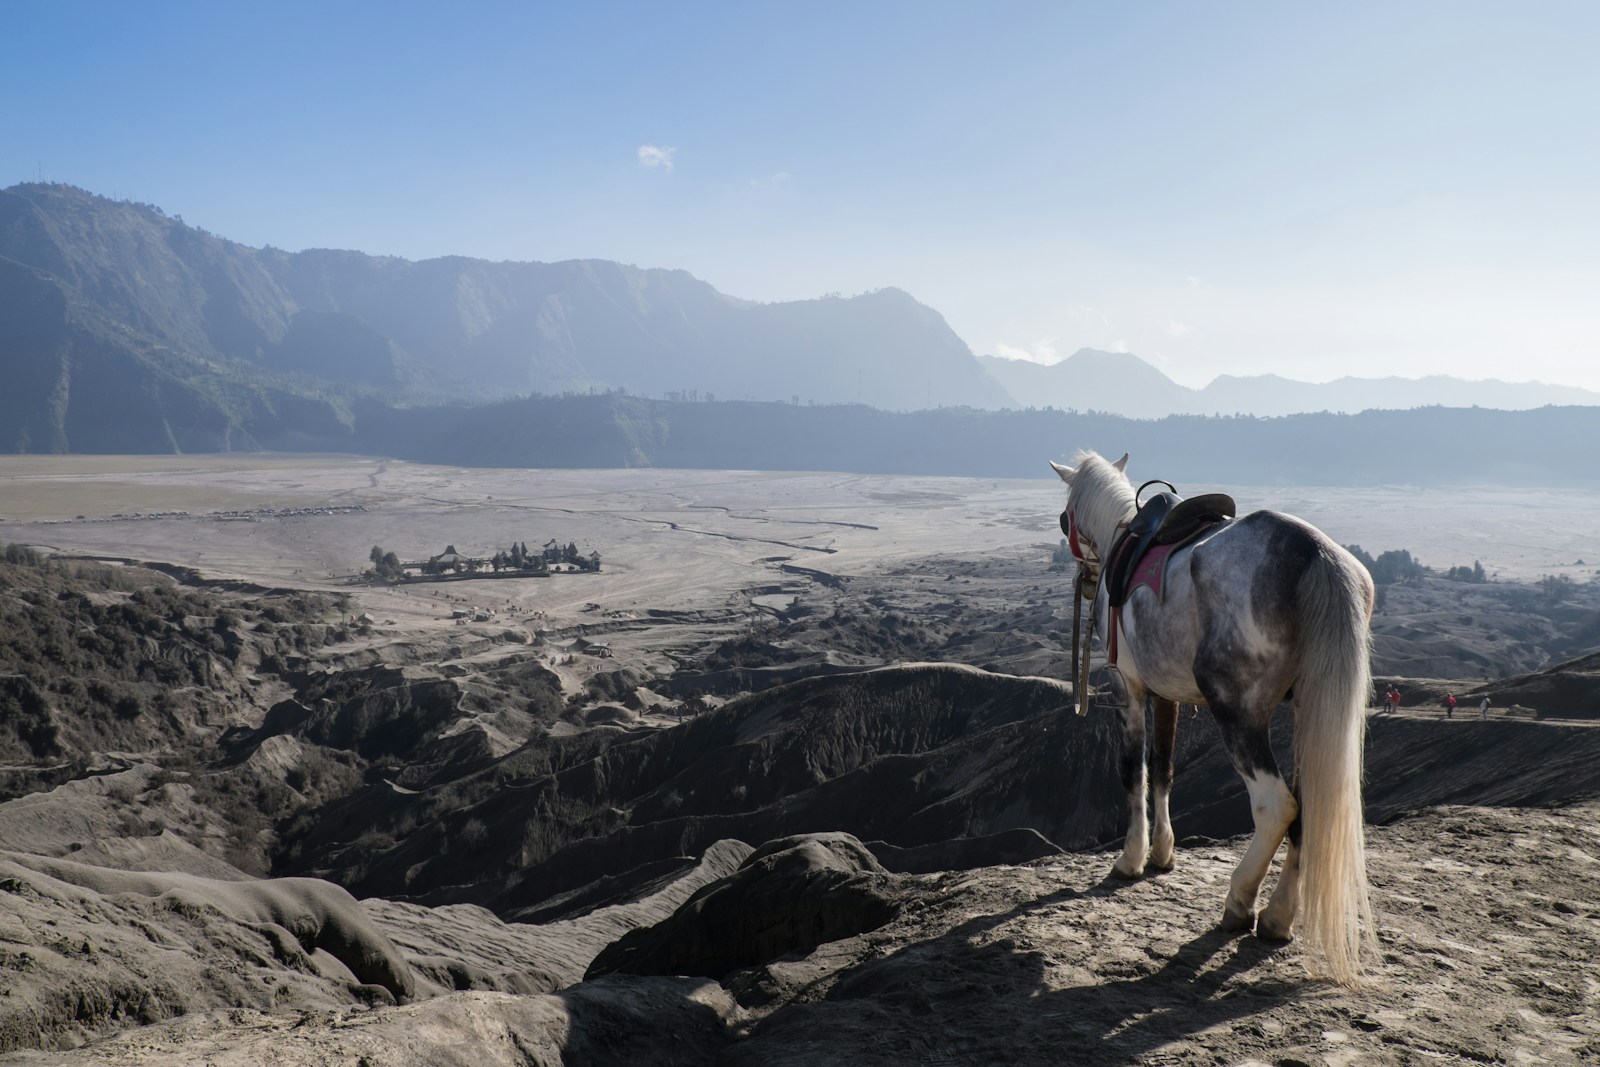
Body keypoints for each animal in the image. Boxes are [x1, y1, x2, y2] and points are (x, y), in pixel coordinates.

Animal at [1049, 447, 1376, 985]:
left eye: (1066, 517)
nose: (1086, 576)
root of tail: (1314, 554)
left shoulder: (1130, 689)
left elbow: (1133, 773)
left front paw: (1132, 858)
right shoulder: (1169, 695)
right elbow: (1164, 768)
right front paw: (1163, 853)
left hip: (1238, 712)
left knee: (1277, 806)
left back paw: (1240, 902)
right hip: (1310, 713)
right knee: (1308, 808)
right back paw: (1278, 917)